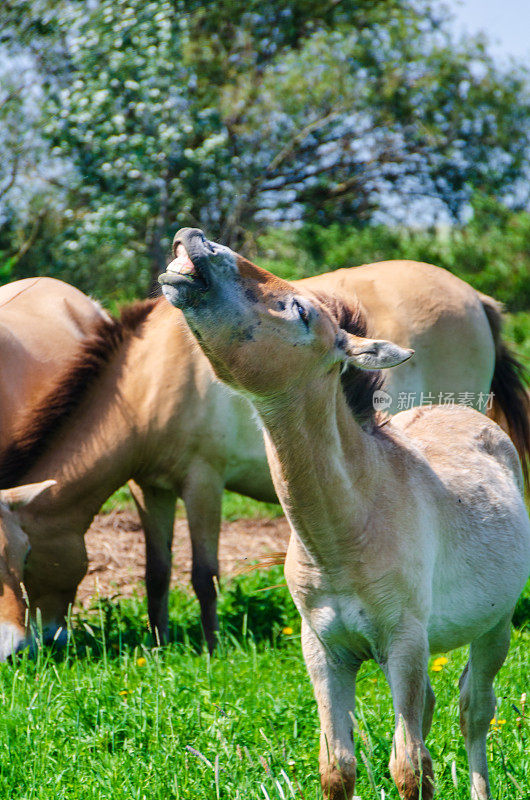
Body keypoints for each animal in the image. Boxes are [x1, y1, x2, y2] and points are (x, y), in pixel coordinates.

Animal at [0, 253, 524, 660]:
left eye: (25, 555)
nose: (29, 646)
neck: (151, 375)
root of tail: (475, 299)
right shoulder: (150, 489)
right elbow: (157, 573)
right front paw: (159, 643)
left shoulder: (203, 482)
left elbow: (204, 574)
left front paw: (211, 648)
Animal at [159, 225, 528, 800]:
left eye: (300, 310)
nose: (195, 240)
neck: (348, 528)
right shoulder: (324, 652)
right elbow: (338, 767)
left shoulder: (403, 645)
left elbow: (409, 768)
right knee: (436, 708)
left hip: (496, 627)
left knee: (474, 711)